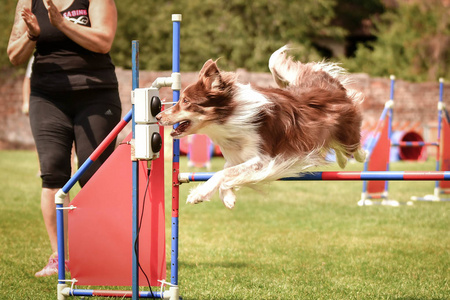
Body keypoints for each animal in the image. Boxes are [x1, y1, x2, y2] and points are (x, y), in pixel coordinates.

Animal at [157, 45, 366, 209]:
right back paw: (342, 161)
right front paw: (228, 197)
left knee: (353, 146)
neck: (229, 117)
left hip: (346, 130)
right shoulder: (239, 156)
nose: (158, 116)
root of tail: (326, 82)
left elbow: (223, 172)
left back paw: (358, 156)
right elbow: (227, 169)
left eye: (186, 101)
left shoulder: (264, 159)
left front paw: (199, 194)